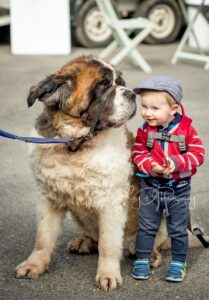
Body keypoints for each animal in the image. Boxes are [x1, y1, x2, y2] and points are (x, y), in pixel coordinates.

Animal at [13, 55, 200, 290]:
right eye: (103, 84)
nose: (131, 93)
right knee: (94, 235)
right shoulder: (49, 199)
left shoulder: (112, 202)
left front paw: (108, 274)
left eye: (120, 81)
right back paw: (85, 241)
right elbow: (43, 237)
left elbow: (108, 243)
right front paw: (34, 264)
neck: (76, 145)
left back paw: (148, 254)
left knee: (148, 241)